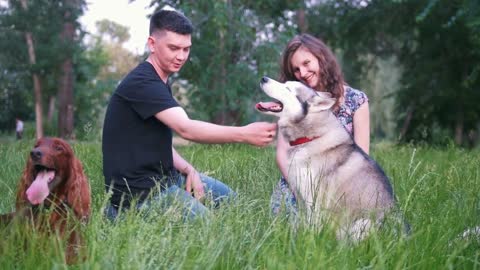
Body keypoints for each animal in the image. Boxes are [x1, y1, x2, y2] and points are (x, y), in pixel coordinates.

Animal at [256, 76, 396, 240]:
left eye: (289, 89)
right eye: (285, 83)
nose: (264, 78)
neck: (311, 138)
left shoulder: (315, 198)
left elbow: (313, 226)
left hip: (363, 223)